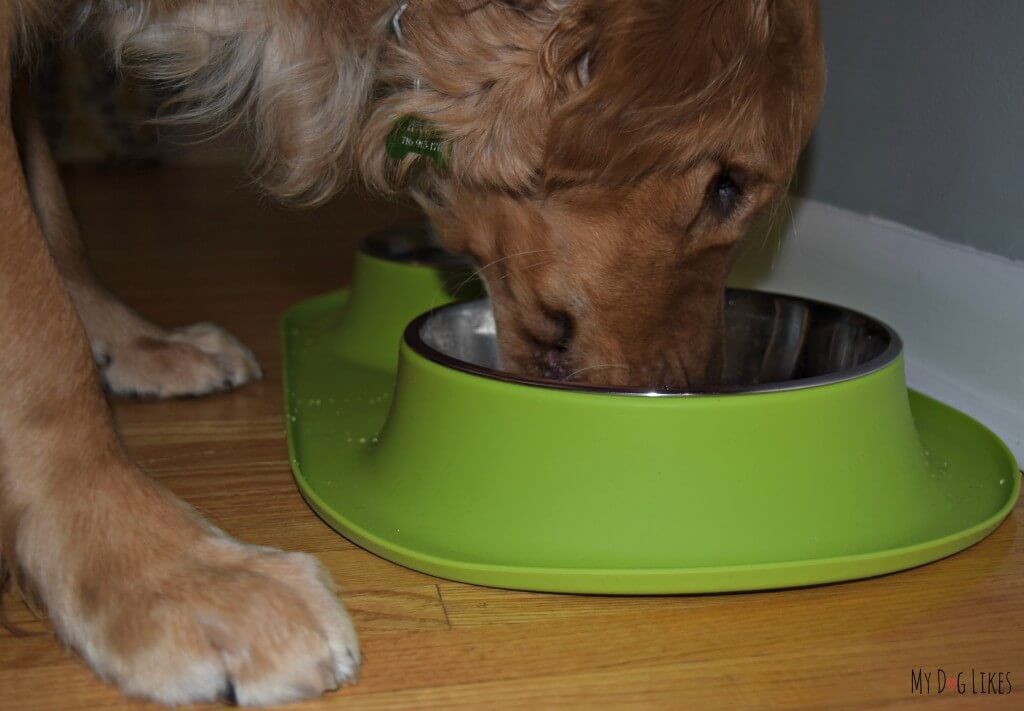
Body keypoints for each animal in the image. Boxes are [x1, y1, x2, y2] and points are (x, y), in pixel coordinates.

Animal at [0, 0, 823, 708]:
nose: (699, 383)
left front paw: (131, 341)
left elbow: (55, 215)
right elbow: (41, 340)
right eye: (725, 186)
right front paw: (164, 572)